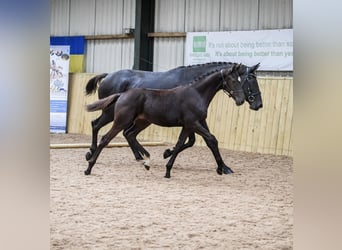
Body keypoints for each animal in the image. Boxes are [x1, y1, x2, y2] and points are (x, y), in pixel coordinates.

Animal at [85, 64, 246, 178]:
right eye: (233, 80)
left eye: (241, 80)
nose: (241, 100)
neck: (196, 93)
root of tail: (122, 94)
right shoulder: (193, 123)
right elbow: (210, 139)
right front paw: (221, 168)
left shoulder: (190, 125)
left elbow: (183, 143)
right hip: (120, 120)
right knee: (105, 137)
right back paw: (89, 166)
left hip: (141, 121)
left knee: (129, 134)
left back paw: (145, 160)